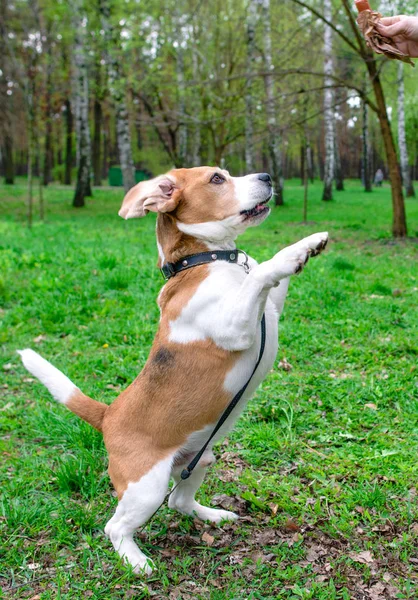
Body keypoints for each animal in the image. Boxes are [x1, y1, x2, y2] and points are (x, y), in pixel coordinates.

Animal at [18, 165, 326, 576]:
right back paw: (136, 561)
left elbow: (266, 277)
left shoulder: (270, 307)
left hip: (202, 457)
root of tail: (108, 415)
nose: (267, 175)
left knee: (179, 502)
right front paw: (292, 253)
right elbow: (263, 273)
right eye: (217, 179)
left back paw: (212, 515)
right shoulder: (236, 326)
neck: (207, 259)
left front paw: (309, 243)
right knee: (115, 526)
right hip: (146, 488)